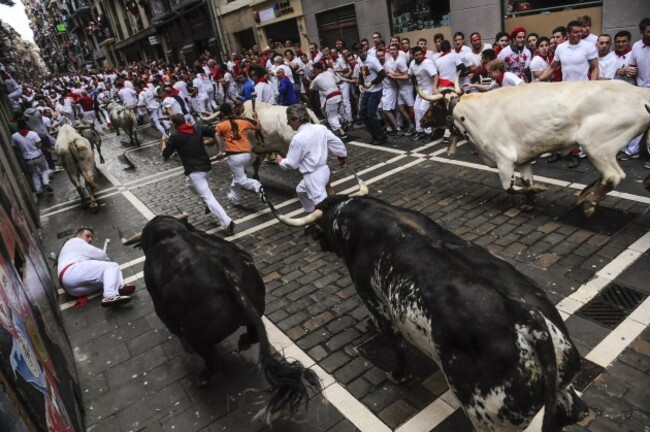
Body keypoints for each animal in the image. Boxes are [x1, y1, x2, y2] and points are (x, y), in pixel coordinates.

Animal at [127, 218, 318, 420]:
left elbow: (173, 327)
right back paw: (243, 343)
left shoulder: (159, 304)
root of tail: (227, 276)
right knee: (252, 334)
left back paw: (203, 377)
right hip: (256, 308)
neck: (170, 231)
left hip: (197, 337)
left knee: (211, 360)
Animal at [268, 197, 588, 432]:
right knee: (575, 410)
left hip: (489, 419)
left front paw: (398, 374)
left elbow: (394, 344)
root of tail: (530, 320)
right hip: (562, 386)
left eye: (321, 227)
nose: (317, 241)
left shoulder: (375, 300)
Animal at [416, 78, 648, 216]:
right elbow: (526, 181)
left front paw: (538, 189)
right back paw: (584, 194)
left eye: (433, 106)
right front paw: (530, 201)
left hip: (596, 144)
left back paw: (589, 202)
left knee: (613, 176)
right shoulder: (524, 159)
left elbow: (509, 187)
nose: (422, 120)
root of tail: (640, 93)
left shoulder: (504, 158)